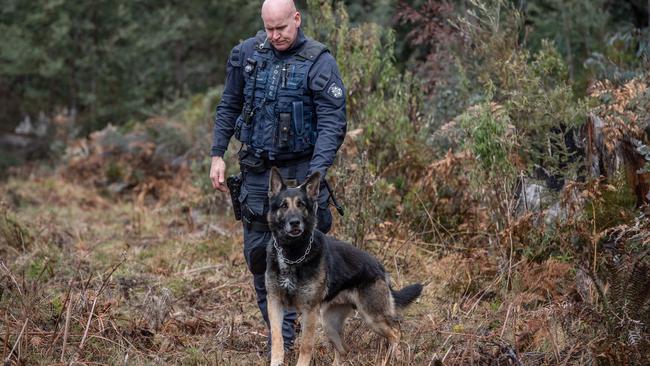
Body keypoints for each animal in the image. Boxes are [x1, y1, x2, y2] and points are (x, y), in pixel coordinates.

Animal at [266, 168, 422, 366]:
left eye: (301, 205)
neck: (293, 254)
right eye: (284, 205)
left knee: (396, 333)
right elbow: (277, 339)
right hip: (329, 323)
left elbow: (306, 346)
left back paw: (393, 359)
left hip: (372, 317)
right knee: (344, 350)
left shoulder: (310, 312)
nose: (294, 222)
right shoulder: (274, 303)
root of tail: (380, 268)